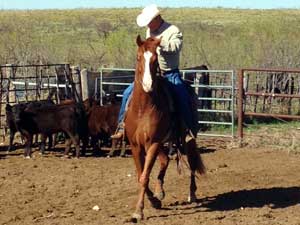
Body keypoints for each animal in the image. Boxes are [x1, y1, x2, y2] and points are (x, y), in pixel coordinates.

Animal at [125, 35, 206, 221]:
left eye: (155, 60)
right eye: (138, 57)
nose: (148, 85)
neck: (142, 109)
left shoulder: (153, 143)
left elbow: (144, 176)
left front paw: (139, 211)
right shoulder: (136, 145)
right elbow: (141, 175)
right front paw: (154, 201)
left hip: (187, 138)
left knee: (191, 162)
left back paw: (192, 193)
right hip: (163, 142)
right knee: (165, 160)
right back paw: (159, 192)